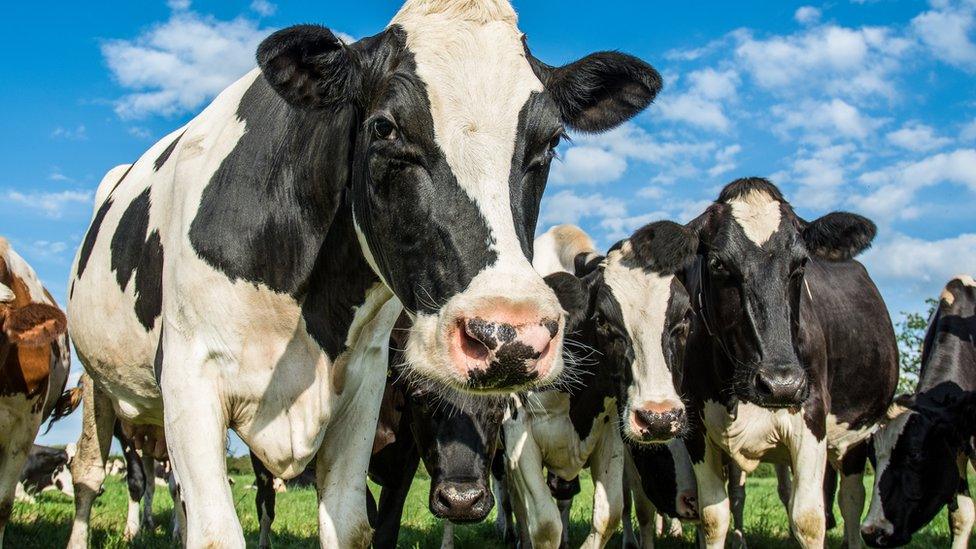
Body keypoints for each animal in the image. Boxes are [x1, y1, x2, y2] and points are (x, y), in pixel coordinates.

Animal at [66, 2, 664, 544]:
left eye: (551, 140)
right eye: (386, 127)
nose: (509, 336)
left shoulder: (363, 387)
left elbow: (353, 526)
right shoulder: (190, 376)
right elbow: (216, 532)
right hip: (98, 381)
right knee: (91, 474)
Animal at [500, 223, 696, 548]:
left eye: (685, 319)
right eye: (602, 320)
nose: (659, 418)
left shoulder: (610, 433)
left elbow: (609, 514)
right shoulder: (518, 433)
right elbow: (544, 524)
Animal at [680, 178, 900, 544]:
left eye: (800, 264)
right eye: (718, 264)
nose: (781, 383)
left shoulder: (812, 416)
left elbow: (808, 519)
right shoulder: (697, 427)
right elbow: (713, 517)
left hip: (854, 435)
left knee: (849, 499)